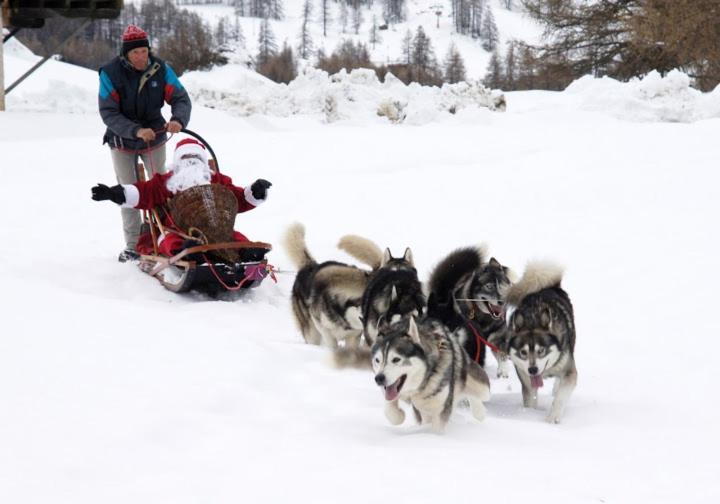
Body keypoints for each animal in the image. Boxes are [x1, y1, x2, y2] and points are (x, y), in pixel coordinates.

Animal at [428, 246, 512, 376]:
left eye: (503, 286)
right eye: (489, 286)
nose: (503, 301)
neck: (483, 317)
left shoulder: (498, 334)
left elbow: (501, 352)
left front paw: (503, 370)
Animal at [506, 262, 580, 424]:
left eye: (541, 351)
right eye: (523, 352)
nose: (533, 370)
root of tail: (549, 286)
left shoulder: (569, 371)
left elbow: (561, 396)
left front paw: (552, 418)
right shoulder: (525, 377)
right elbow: (530, 397)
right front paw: (529, 414)